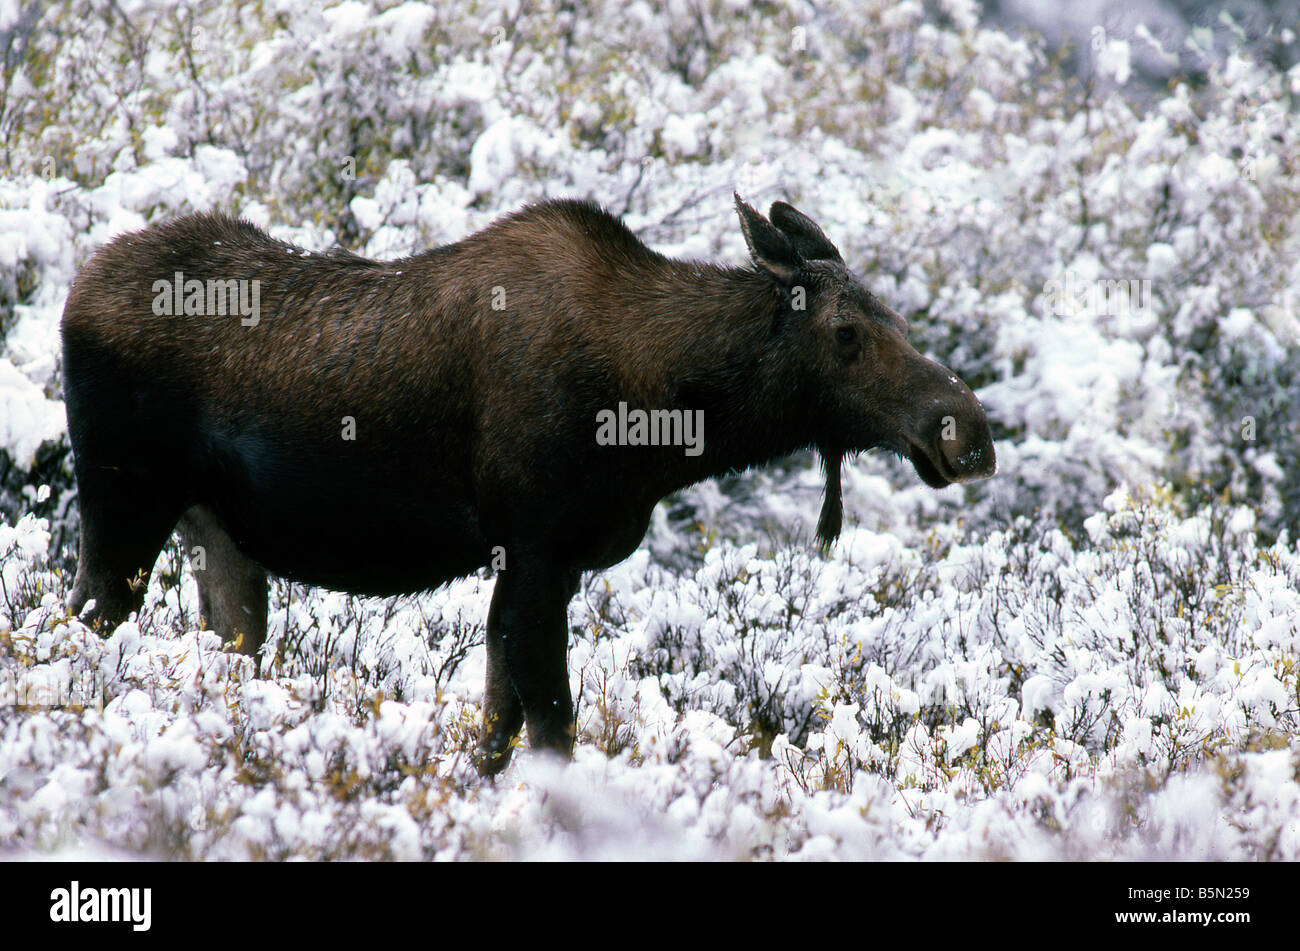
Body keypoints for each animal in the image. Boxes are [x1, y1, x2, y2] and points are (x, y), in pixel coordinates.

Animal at [58, 193, 993, 774]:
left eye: (897, 316)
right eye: (845, 333)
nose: (968, 433)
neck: (671, 413)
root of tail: (74, 290)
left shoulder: (545, 564)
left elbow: (497, 725)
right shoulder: (539, 550)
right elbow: (548, 728)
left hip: (219, 539)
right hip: (122, 506)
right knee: (74, 627)